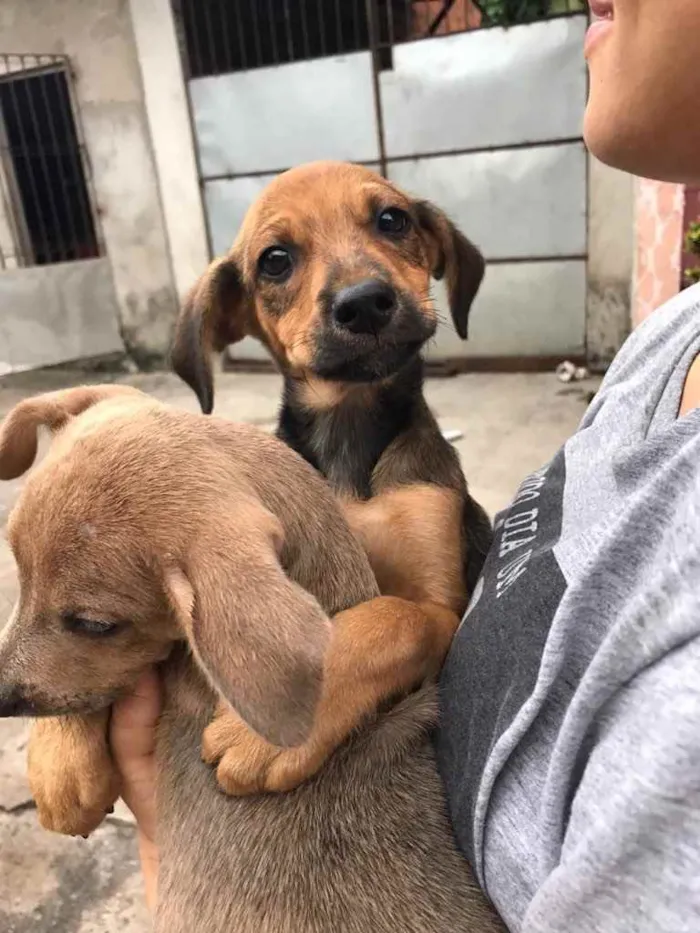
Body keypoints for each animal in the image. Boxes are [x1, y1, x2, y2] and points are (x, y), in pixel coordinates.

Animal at [172, 164, 490, 792]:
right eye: (274, 260)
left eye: (392, 220)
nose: (364, 304)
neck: (349, 426)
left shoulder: (444, 606)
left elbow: (393, 617)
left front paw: (274, 725)